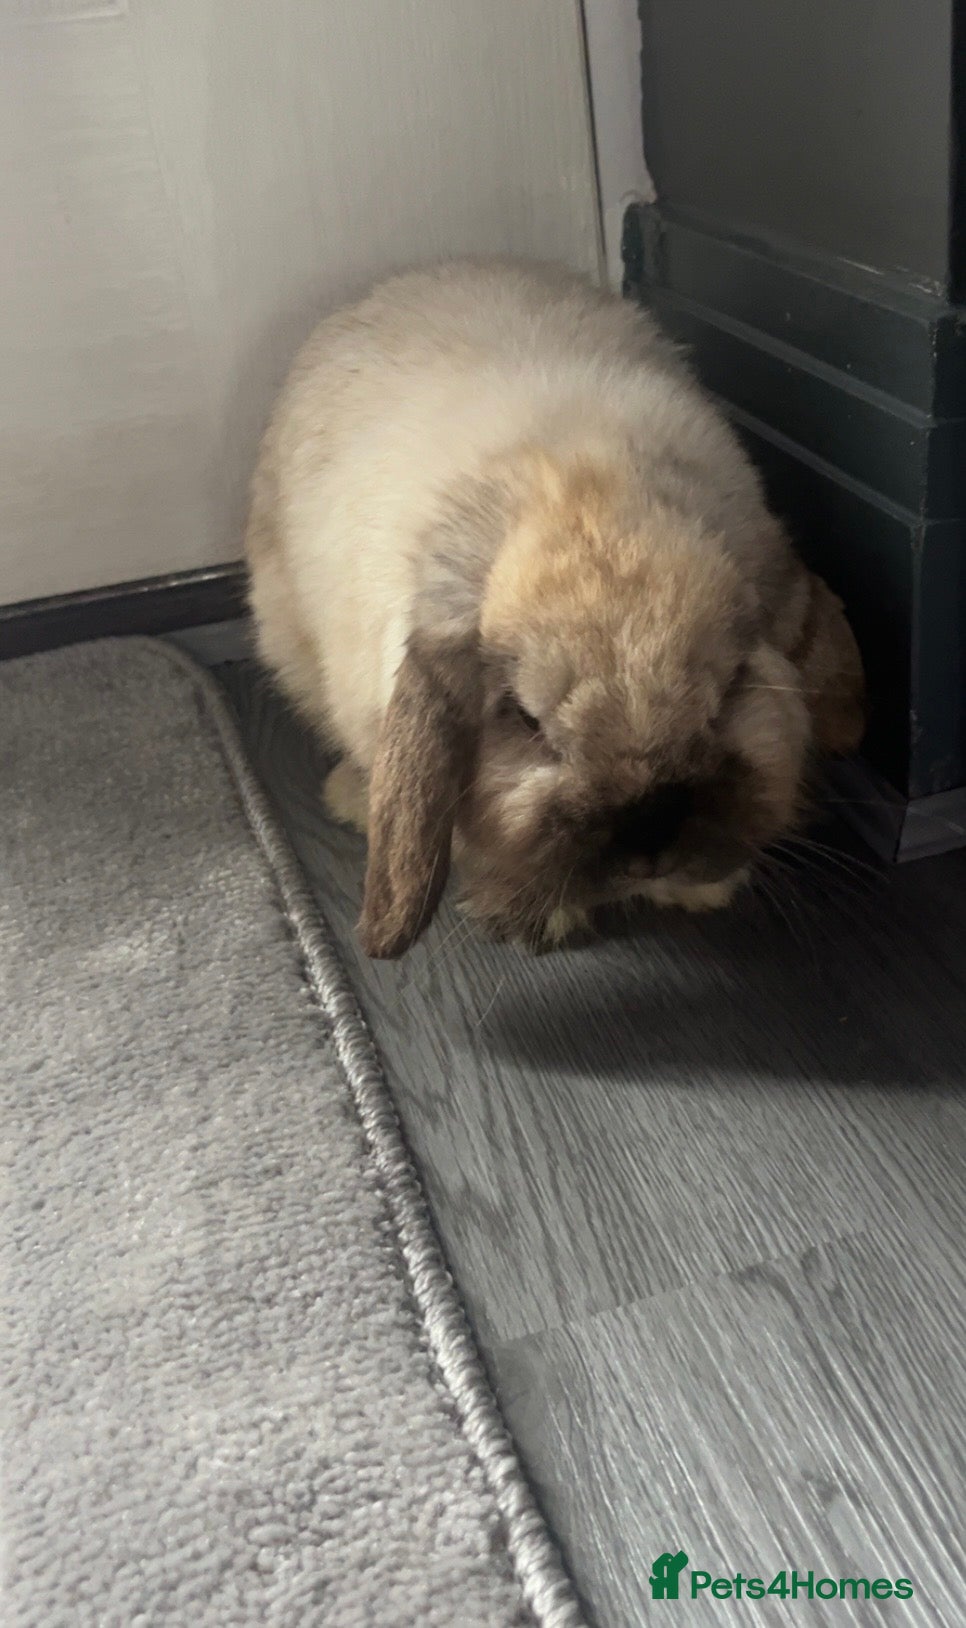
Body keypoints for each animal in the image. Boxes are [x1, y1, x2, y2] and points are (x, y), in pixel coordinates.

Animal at [245, 259, 865, 959]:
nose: (649, 840)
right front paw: (541, 918)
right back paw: (350, 797)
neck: (582, 490)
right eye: (525, 719)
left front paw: (703, 891)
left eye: (731, 690)